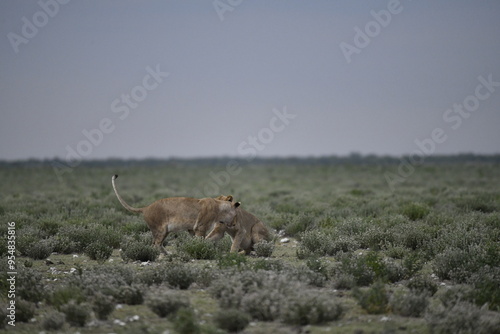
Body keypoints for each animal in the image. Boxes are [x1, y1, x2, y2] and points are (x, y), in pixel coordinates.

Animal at [111, 175, 240, 253]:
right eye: (236, 216)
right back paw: (165, 255)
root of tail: (146, 207)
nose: (234, 224)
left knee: (156, 244)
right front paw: (201, 248)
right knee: (156, 244)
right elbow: (202, 240)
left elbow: (196, 240)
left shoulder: (192, 229)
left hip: (165, 231)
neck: (219, 208)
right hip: (160, 229)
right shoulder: (200, 227)